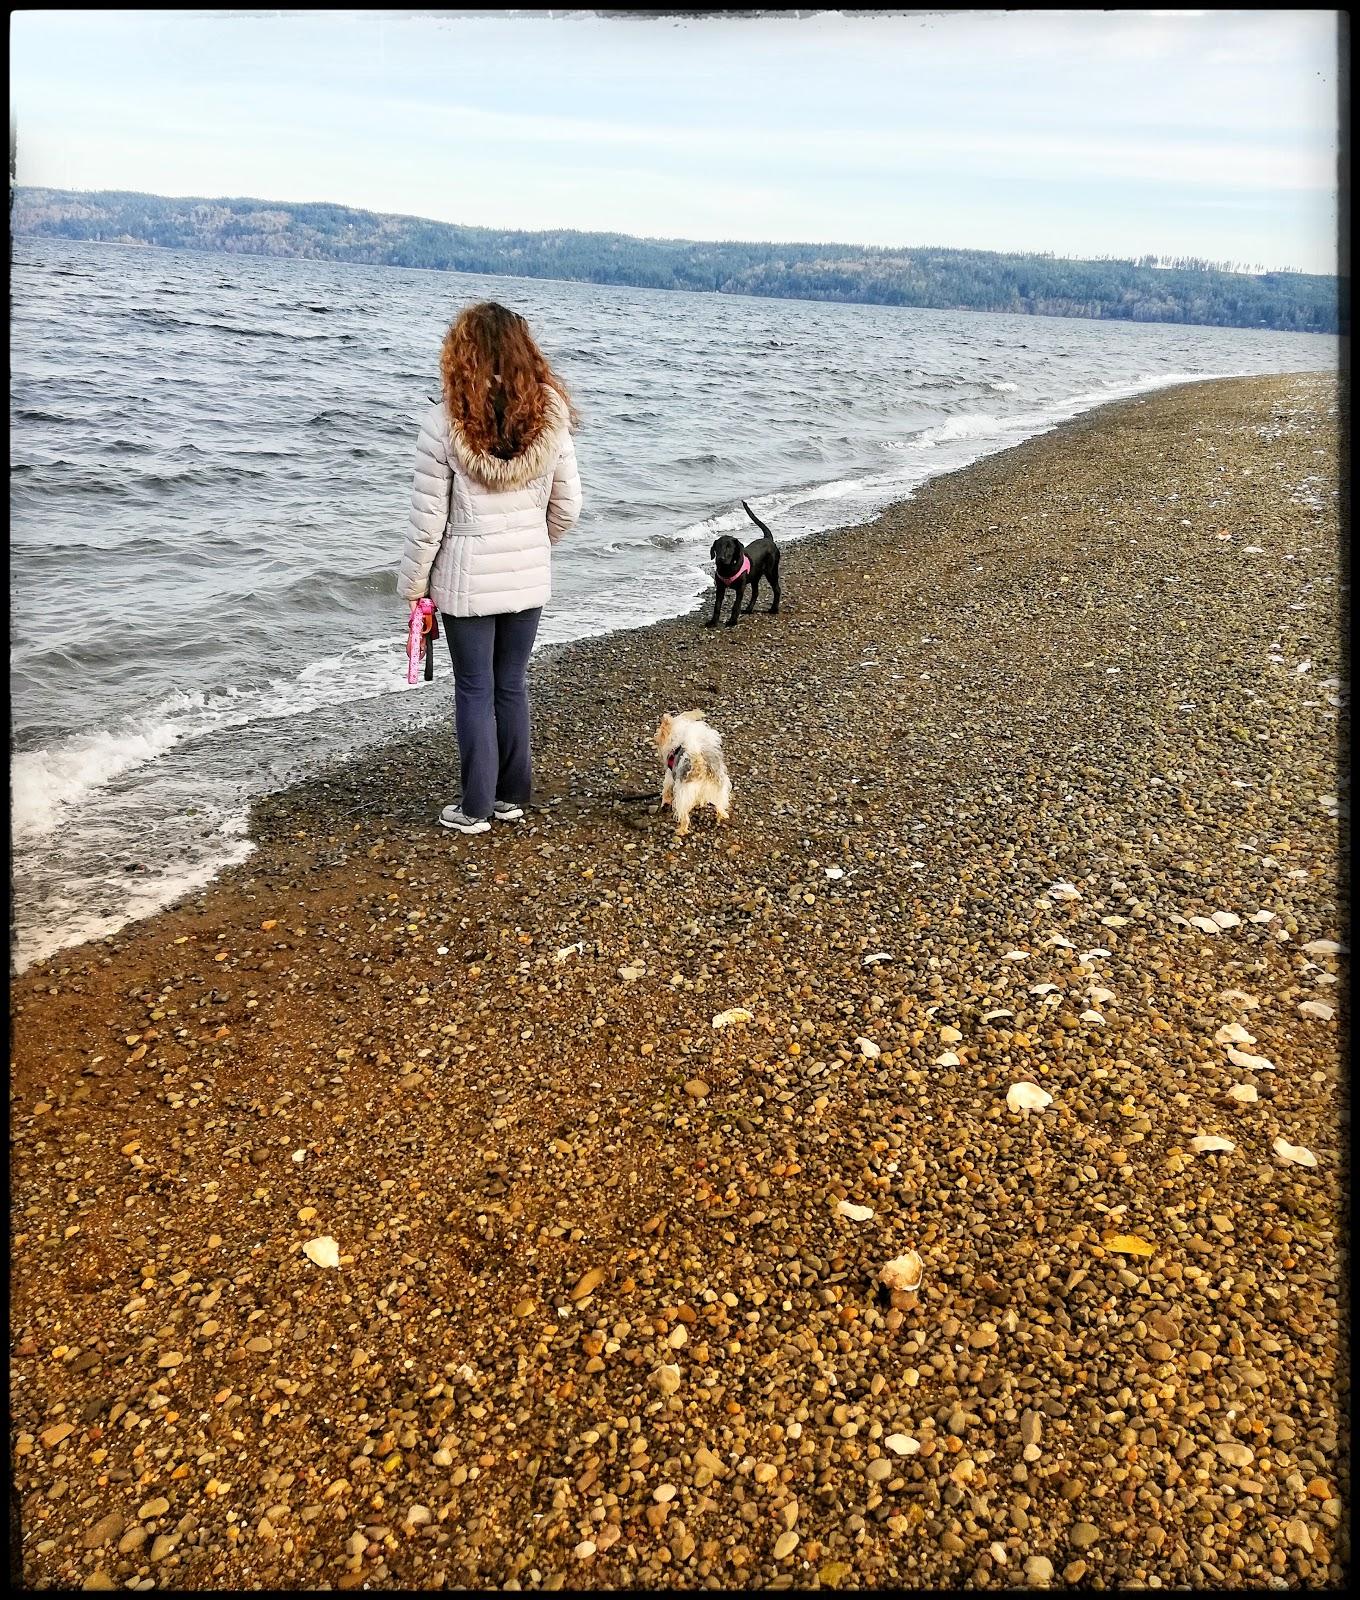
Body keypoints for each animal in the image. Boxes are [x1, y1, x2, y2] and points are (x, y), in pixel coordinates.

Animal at [704, 496, 777, 627]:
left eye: (729, 547)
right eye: (718, 547)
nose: (720, 559)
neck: (727, 569)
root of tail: (768, 539)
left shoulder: (740, 588)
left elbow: (736, 605)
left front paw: (732, 621)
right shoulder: (720, 588)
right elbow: (717, 606)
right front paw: (713, 622)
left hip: (771, 571)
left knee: (777, 589)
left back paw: (774, 609)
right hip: (755, 576)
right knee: (755, 593)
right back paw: (748, 609)